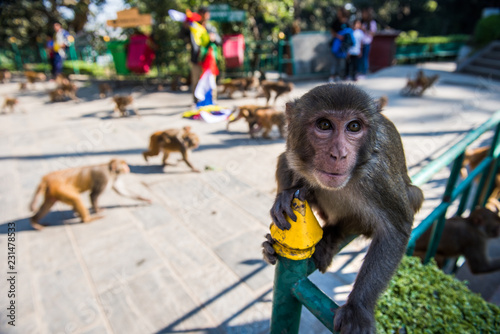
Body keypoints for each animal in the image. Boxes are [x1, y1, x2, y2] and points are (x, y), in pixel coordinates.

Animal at [262, 83, 422, 334]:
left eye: (354, 126)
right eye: (324, 125)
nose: (339, 154)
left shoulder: (377, 175)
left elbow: (396, 229)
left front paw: (357, 308)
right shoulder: (296, 154)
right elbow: (285, 160)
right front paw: (287, 196)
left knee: (411, 196)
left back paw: (331, 236)